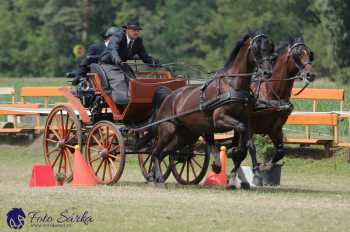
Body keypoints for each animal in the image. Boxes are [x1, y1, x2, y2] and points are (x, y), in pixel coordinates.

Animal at [146, 32, 274, 185]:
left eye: (270, 49)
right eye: (256, 49)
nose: (267, 73)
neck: (232, 85)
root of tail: (169, 97)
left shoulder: (246, 119)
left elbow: (250, 144)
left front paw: (256, 173)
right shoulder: (220, 120)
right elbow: (240, 129)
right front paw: (232, 155)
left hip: (184, 136)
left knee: (163, 153)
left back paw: (153, 176)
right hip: (168, 130)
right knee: (155, 151)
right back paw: (157, 177)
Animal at [232, 36, 314, 182]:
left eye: (310, 54)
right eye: (297, 54)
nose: (310, 75)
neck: (271, 94)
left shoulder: (275, 128)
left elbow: (280, 152)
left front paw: (266, 166)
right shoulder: (249, 125)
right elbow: (249, 148)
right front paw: (256, 173)